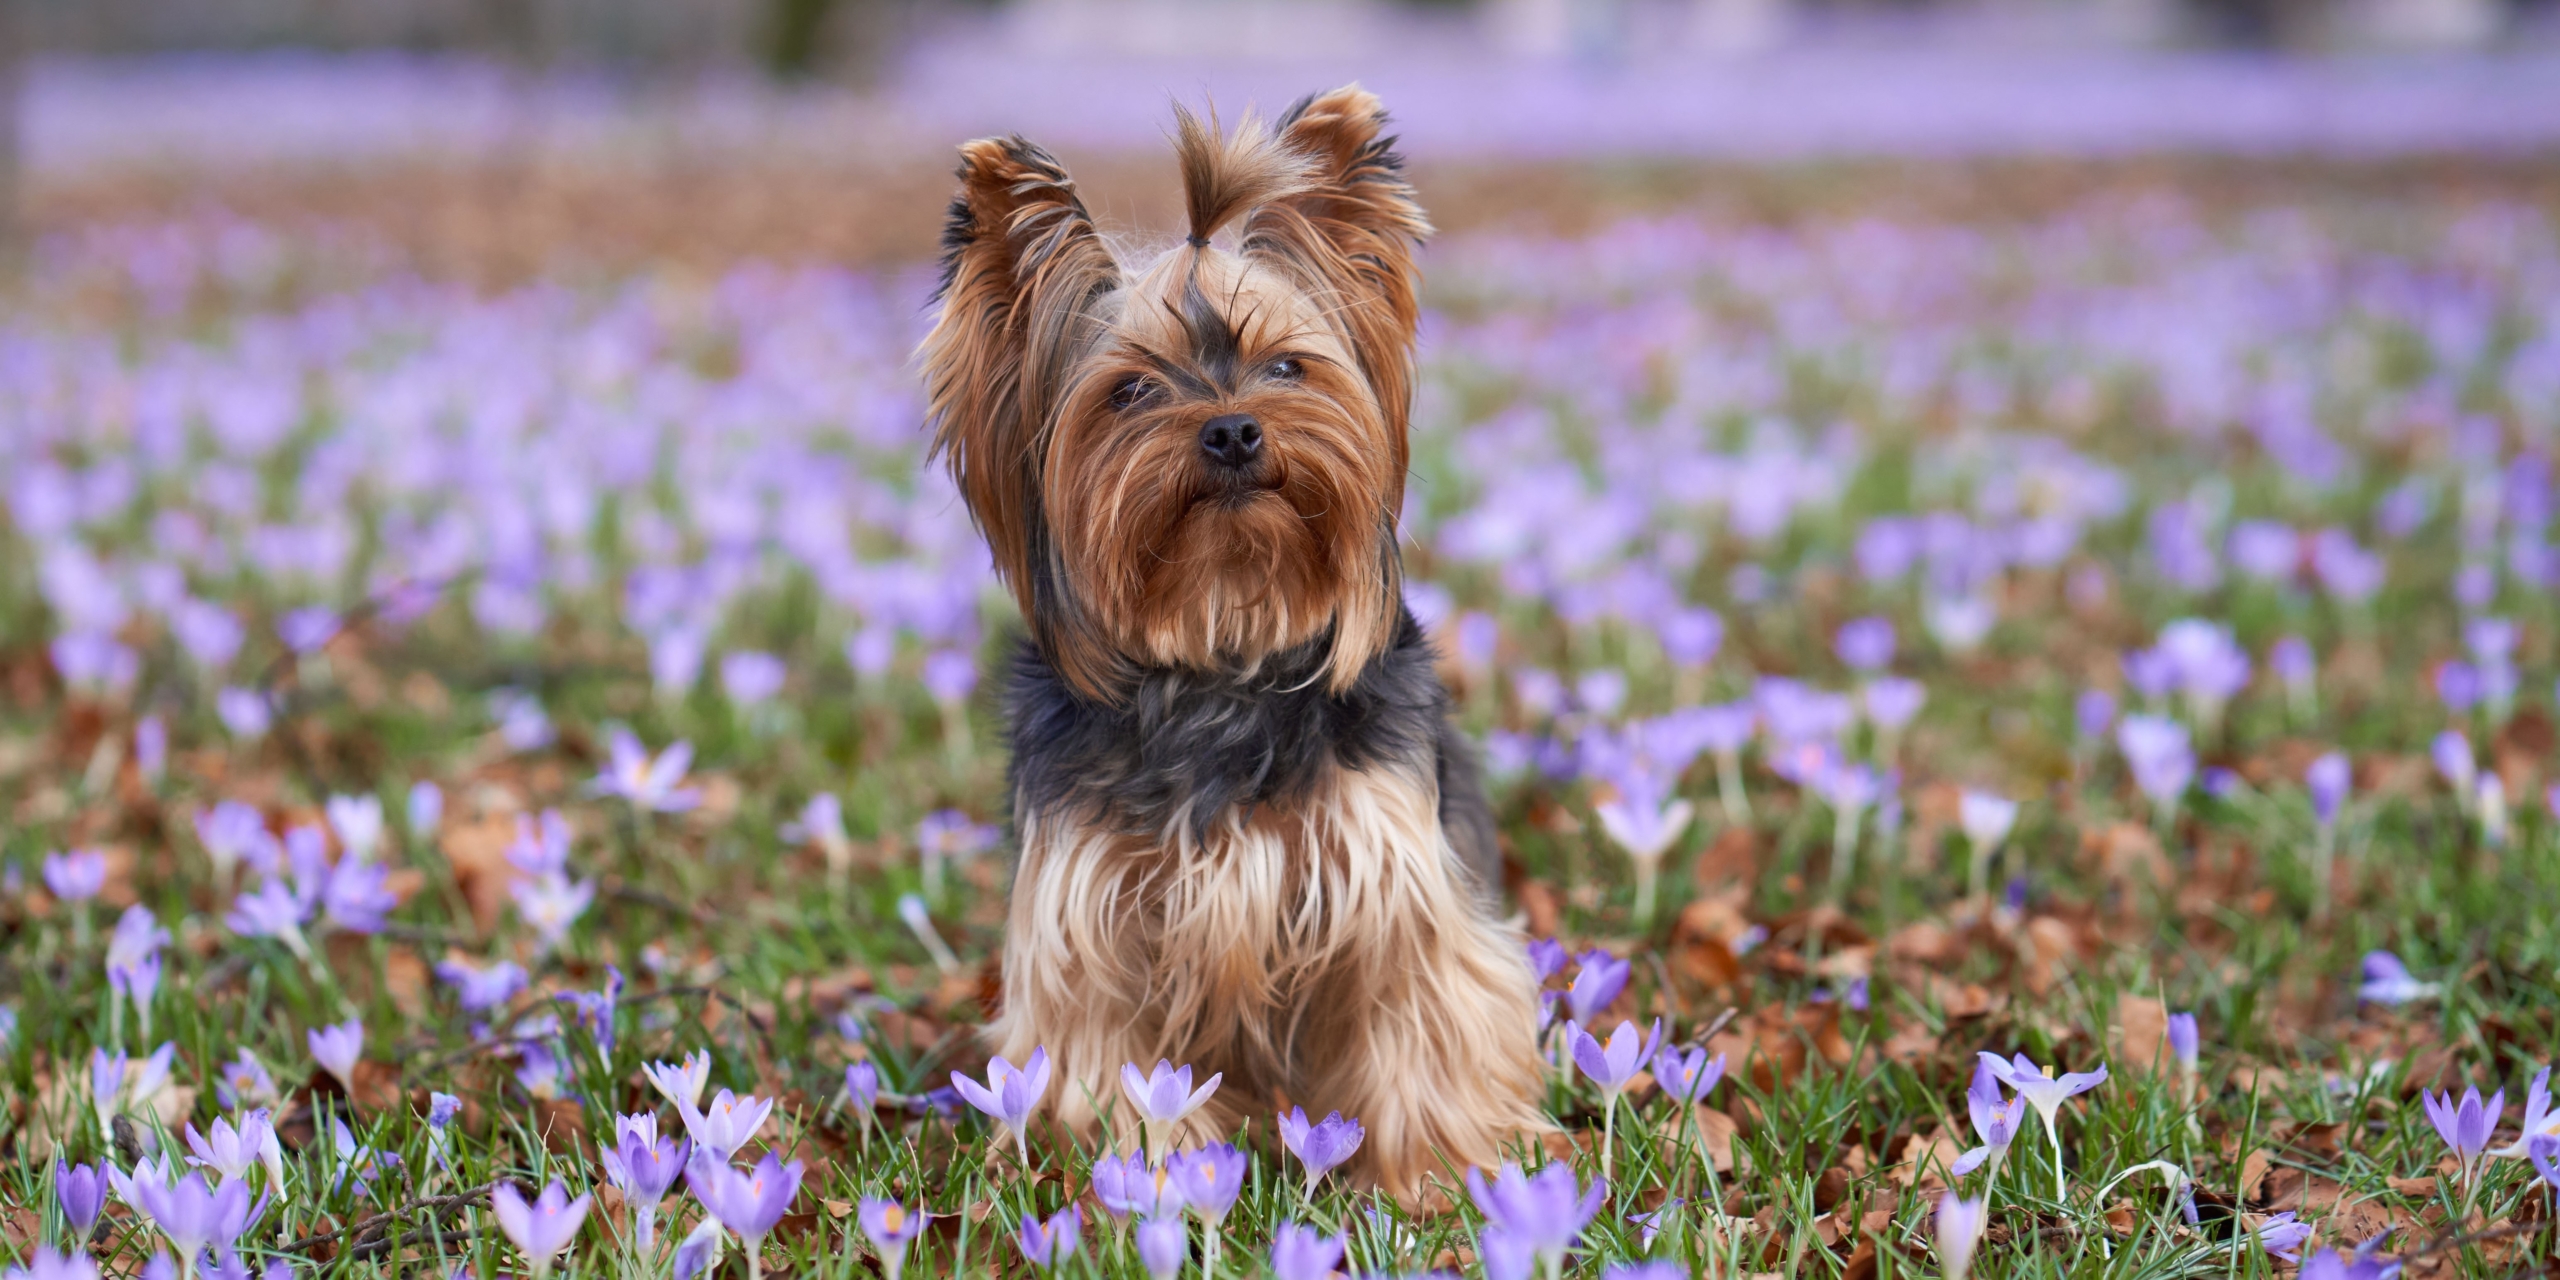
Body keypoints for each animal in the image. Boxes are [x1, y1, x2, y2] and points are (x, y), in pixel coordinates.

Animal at [931, 87, 1546, 1187]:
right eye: (1130, 389)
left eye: (1287, 364)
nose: (1230, 430)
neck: (1222, 643)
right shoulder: (1094, 915)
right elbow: (1112, 1056)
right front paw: (1154, 1183)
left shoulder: (1387, 878)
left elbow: (1422, 1011)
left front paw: (1437, 1179)